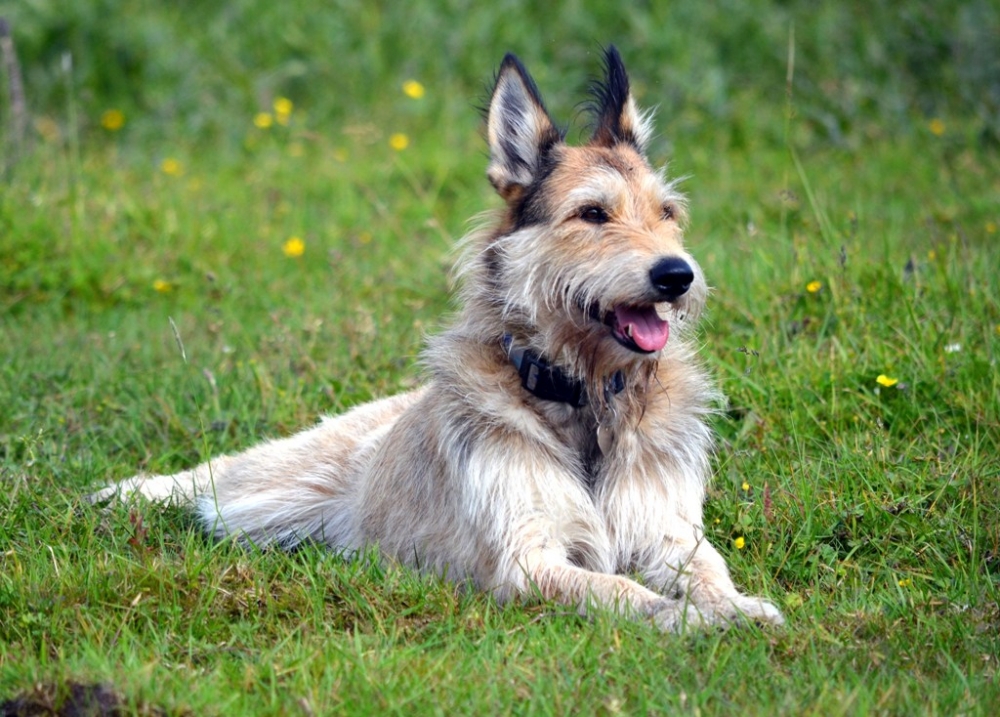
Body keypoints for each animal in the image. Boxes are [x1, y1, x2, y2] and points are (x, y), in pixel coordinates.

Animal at [95, 44, 780, 628]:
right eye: (592, 214)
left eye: (667, 214)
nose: (677, 275)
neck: (582, 395)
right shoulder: (526, 558)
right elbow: (621, 590)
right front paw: (686, 619)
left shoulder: (667, 533)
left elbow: (708, 568)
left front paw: (737, 607)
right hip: (267, 492)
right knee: (217, 476)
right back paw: (127, 492)